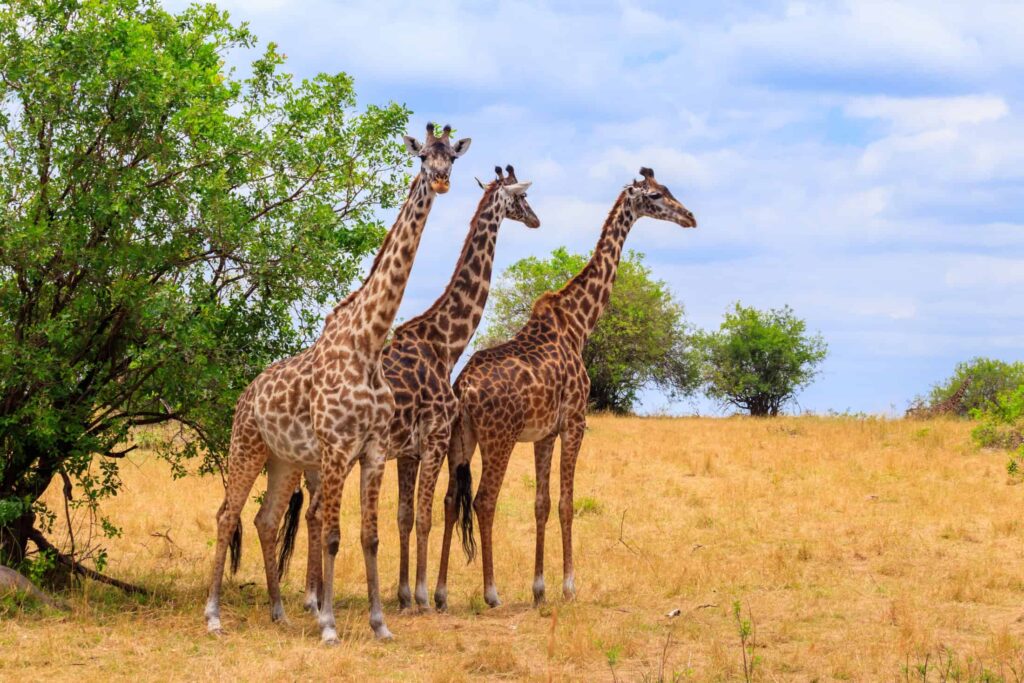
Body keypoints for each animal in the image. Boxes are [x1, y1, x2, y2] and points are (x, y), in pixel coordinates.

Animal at [202, 122, 471, 647]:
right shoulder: (335, 447)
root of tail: (246, 394)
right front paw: (327, 624)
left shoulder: (371, 450)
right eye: (423, 155)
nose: (442, 180)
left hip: (283, 460)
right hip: (246, 446)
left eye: (453, 155)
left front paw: (380, 624)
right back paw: (214, 615)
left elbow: (369, 536)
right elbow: (330, 534)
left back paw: (279, 613)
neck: (368, 344)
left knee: (265, 519)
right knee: (227, 514)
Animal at [276, 163, 540, 610]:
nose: (536, 220)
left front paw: (401, 595)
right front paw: (422, 595)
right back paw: (315, 598)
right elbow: (424, 516)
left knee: (310, 513)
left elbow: (403, 516)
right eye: (521, 198)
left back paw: (313, 596)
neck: (446, 344)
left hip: (316, 461)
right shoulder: (433, 439)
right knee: (315, 513)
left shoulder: (408, 452)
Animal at [432, 167, 696, 610]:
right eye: (657, 196)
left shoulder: (543, 433)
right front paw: (570, 586)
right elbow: (567, 503)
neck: (579, 323)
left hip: (460, 437)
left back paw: (438, 593)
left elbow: (541, 504)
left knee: (452, 500)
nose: (690, 217)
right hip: (498, 438)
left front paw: (540, 589)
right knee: (485, 500)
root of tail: (464, 388)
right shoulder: (575, 421)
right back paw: (490, 592)